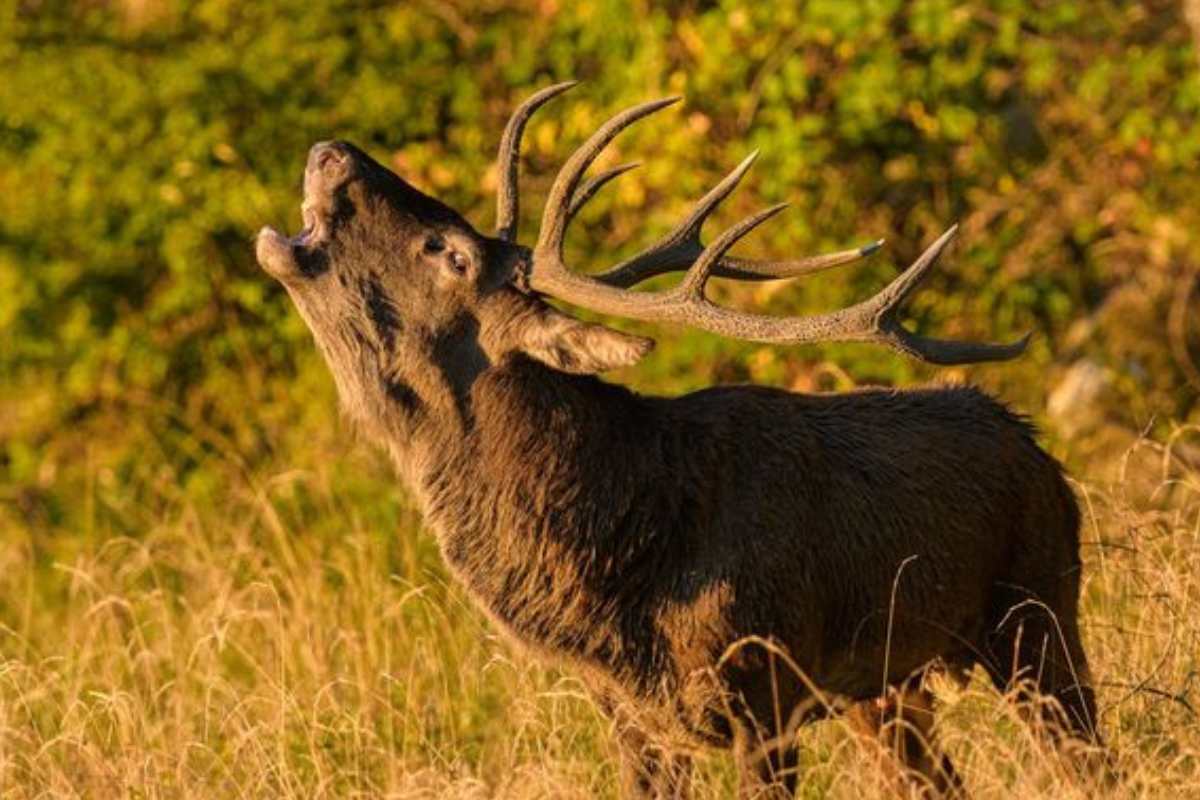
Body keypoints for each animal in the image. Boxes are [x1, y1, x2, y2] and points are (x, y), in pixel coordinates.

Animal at [255, 84, 1104, 796]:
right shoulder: (631, 717)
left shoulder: (765, 687)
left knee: (1091, 758)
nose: (333, 150)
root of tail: (1032, 440)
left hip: (1039, 609)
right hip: (889, 686)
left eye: (447, 251)